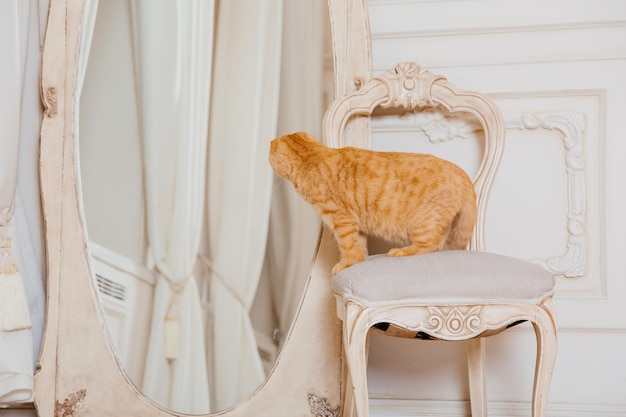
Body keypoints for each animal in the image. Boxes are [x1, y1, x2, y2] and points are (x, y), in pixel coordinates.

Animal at [266, 130, 476, 272]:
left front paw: (345, 264)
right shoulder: (355, 224)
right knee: (438, 245)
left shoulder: (342, 221)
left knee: (430, 244)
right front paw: (356, 262)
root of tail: (463, 174)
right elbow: (357, 247)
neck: (311, 157)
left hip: (421, 224)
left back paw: (401, 251)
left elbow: (347, 247)